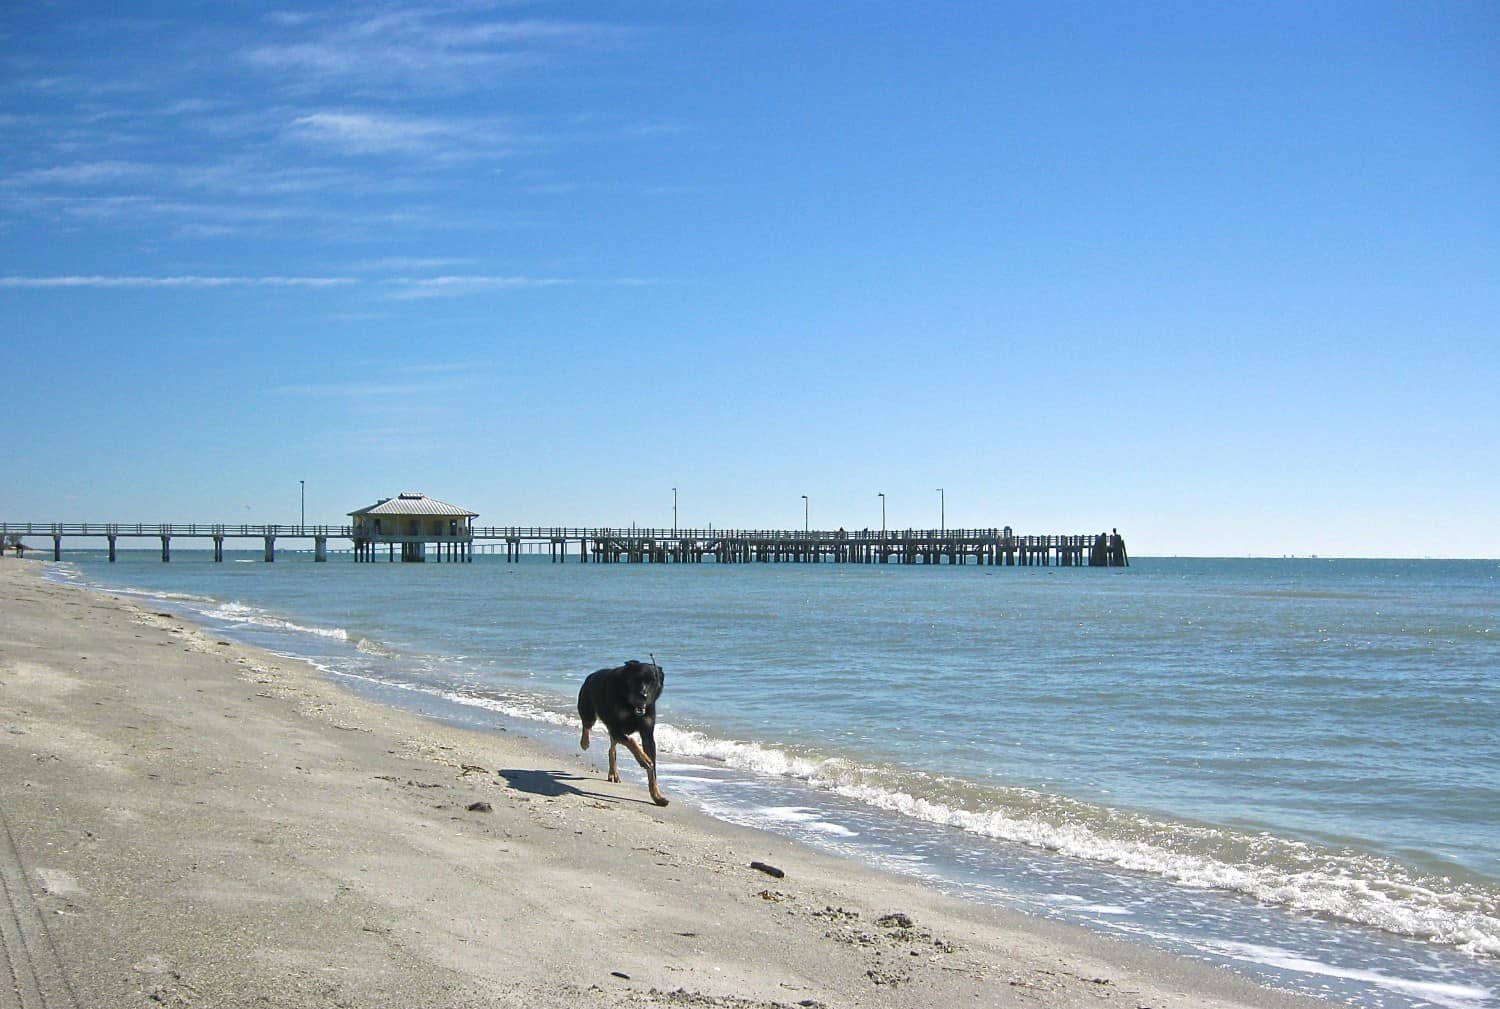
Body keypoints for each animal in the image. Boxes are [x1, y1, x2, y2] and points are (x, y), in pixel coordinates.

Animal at [576, 656, 666, 809]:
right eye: (637, 679)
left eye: (653, 681)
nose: (644, 696)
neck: (631, 704)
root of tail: (591, 675)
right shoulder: (616, 728)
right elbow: (632, 741)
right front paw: (644, 759)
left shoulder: (648, 735)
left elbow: (653, 770)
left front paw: (657, 796)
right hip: (588, 709)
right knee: (587, 724)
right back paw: (584, 742)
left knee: (612, 749)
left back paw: (613, 773)